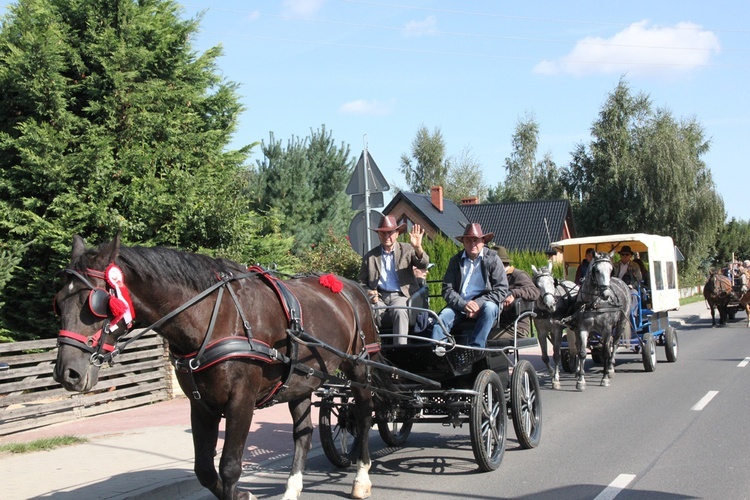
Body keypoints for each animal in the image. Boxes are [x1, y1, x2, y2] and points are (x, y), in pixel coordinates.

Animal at [53, 235, 394, 500]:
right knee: (303, 434)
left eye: (96, 302)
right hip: (302, 380)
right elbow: (204, 469)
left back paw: (361, 478)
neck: (212, 316)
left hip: (359, 368)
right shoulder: (201, 404)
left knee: (363, 417)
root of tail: (352, 287)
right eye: (59, 301)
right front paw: (244, 494)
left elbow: (229, 466)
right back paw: (292, 488)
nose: (67, 373)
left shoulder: (240, 401)